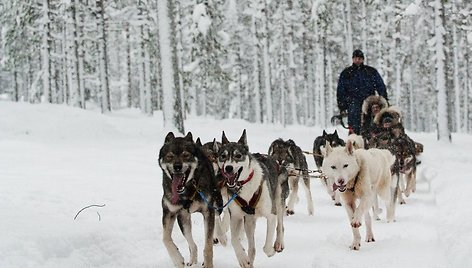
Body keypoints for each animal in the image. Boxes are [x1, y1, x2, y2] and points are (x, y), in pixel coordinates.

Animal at [159, 133, 224, 266]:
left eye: (186, 155)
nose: (177, 167)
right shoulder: (170, 211)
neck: (188, 189)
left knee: (216, 216)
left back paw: (220, 236)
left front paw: (208, 264)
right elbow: (165, 238)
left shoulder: (208, 211)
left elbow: (208, 247)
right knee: (191, 242)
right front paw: (177, 260)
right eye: (169, 156)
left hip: (217, 202)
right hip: (183, 218)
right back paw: (193, 260)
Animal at [218, 130, 288, 268]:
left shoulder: (271, 215)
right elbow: (234, 240)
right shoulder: (236, 217)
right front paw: (242, 258)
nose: (228, 168)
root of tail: (275, 160)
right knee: (252, 248)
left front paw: (271, 251)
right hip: (249, 221)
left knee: (280, 225)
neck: (244, 186)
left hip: (278, 201)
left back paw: (278, 243)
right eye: (223, 156)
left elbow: (266, 247)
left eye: (238, 155)